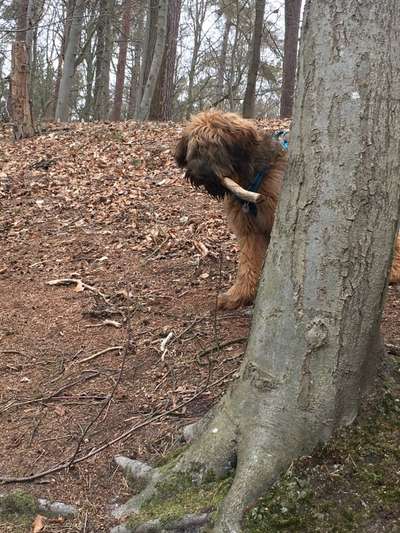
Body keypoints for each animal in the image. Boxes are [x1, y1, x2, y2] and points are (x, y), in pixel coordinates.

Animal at [177, 109, 400, 308]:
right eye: (195, 149)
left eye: (215, 146)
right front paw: (238, 296)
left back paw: (394, 271)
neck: (252, 178)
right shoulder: (250, 230)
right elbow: (248, 264)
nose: (199, 174)